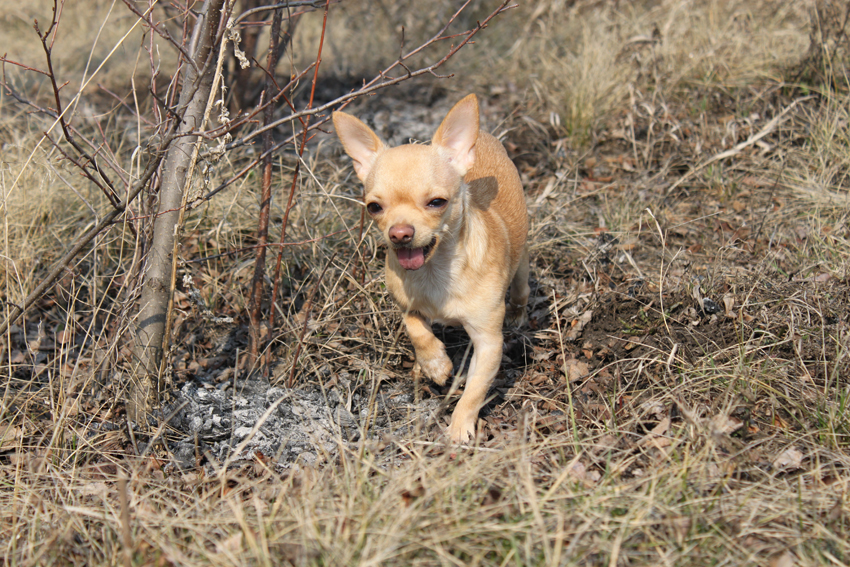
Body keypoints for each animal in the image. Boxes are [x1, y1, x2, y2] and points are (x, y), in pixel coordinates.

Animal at [333, 94, 529, 443]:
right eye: (374, 207)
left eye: (436, 202)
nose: (399, 234)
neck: (435, 272)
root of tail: (485, 137)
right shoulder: (405, 303)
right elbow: (415, 328)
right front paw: (435, 364)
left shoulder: (488, 342)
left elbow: (475, 390)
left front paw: (459, 426)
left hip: (522, 261)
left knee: (522, 285)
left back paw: (518, 312)